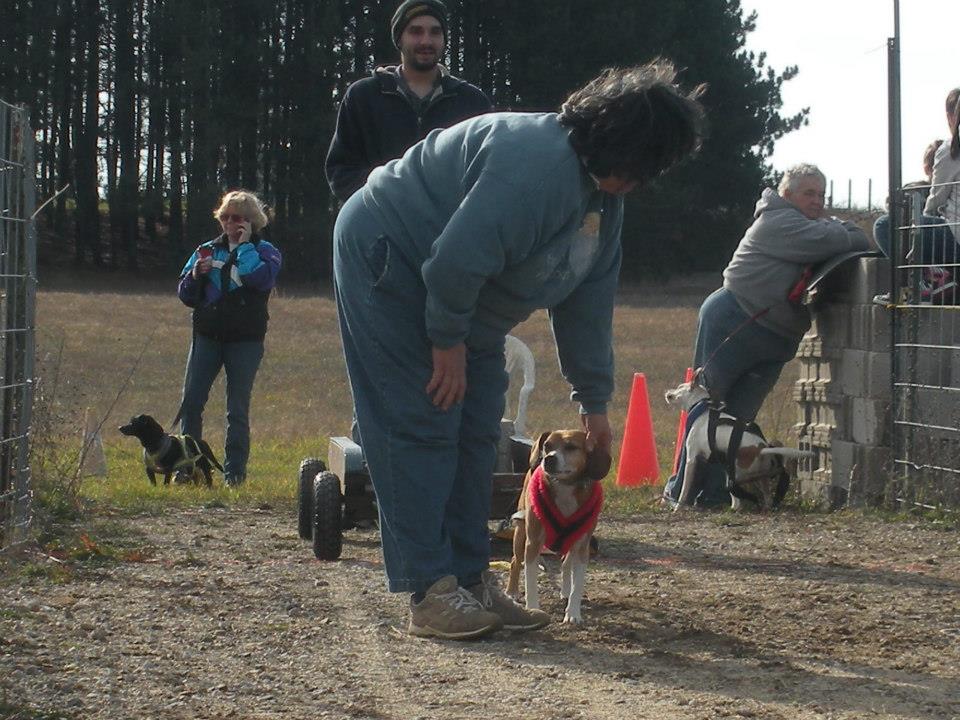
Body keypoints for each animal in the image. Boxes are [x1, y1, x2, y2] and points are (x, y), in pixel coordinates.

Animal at [506, 430, 612, 620]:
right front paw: (533, 608)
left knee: (565, 564)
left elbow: (578, 585)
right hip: (520, 534)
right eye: (547, 445)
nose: (548, 458)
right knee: (515, 561)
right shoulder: (532, 544)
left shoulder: (582, 547)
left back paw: (565, 590)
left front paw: (573, 613)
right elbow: (530, 583)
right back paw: (511, 592)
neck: (565, 487)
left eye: (571, 447)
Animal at [668, 380, 808, 510]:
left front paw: (678, 506)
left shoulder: (691, 459)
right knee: (764, 495)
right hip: (755, 475)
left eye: (680, 387)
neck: (702, 407)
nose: (668, 393)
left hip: (741, 475)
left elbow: (684, 489)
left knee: (742, 492)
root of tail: (760, 449)